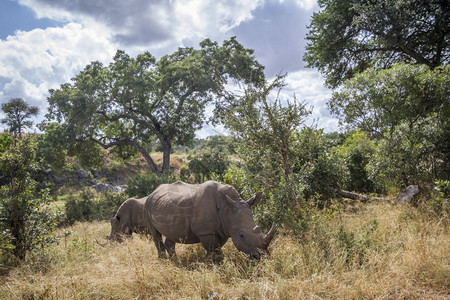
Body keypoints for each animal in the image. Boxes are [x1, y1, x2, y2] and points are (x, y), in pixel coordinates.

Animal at [144, 180, 274, 260]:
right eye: (241, 235)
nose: (261, 256)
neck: (226, 208)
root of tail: (153, 191)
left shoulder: (223, 230)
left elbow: (215, 250)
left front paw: (207, 262)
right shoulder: (206, 232)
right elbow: (216, 251)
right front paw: (216, 266)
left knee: (171, 235)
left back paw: (176, 261)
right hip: (147, 203)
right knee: (155, 234)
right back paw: (164, 261)